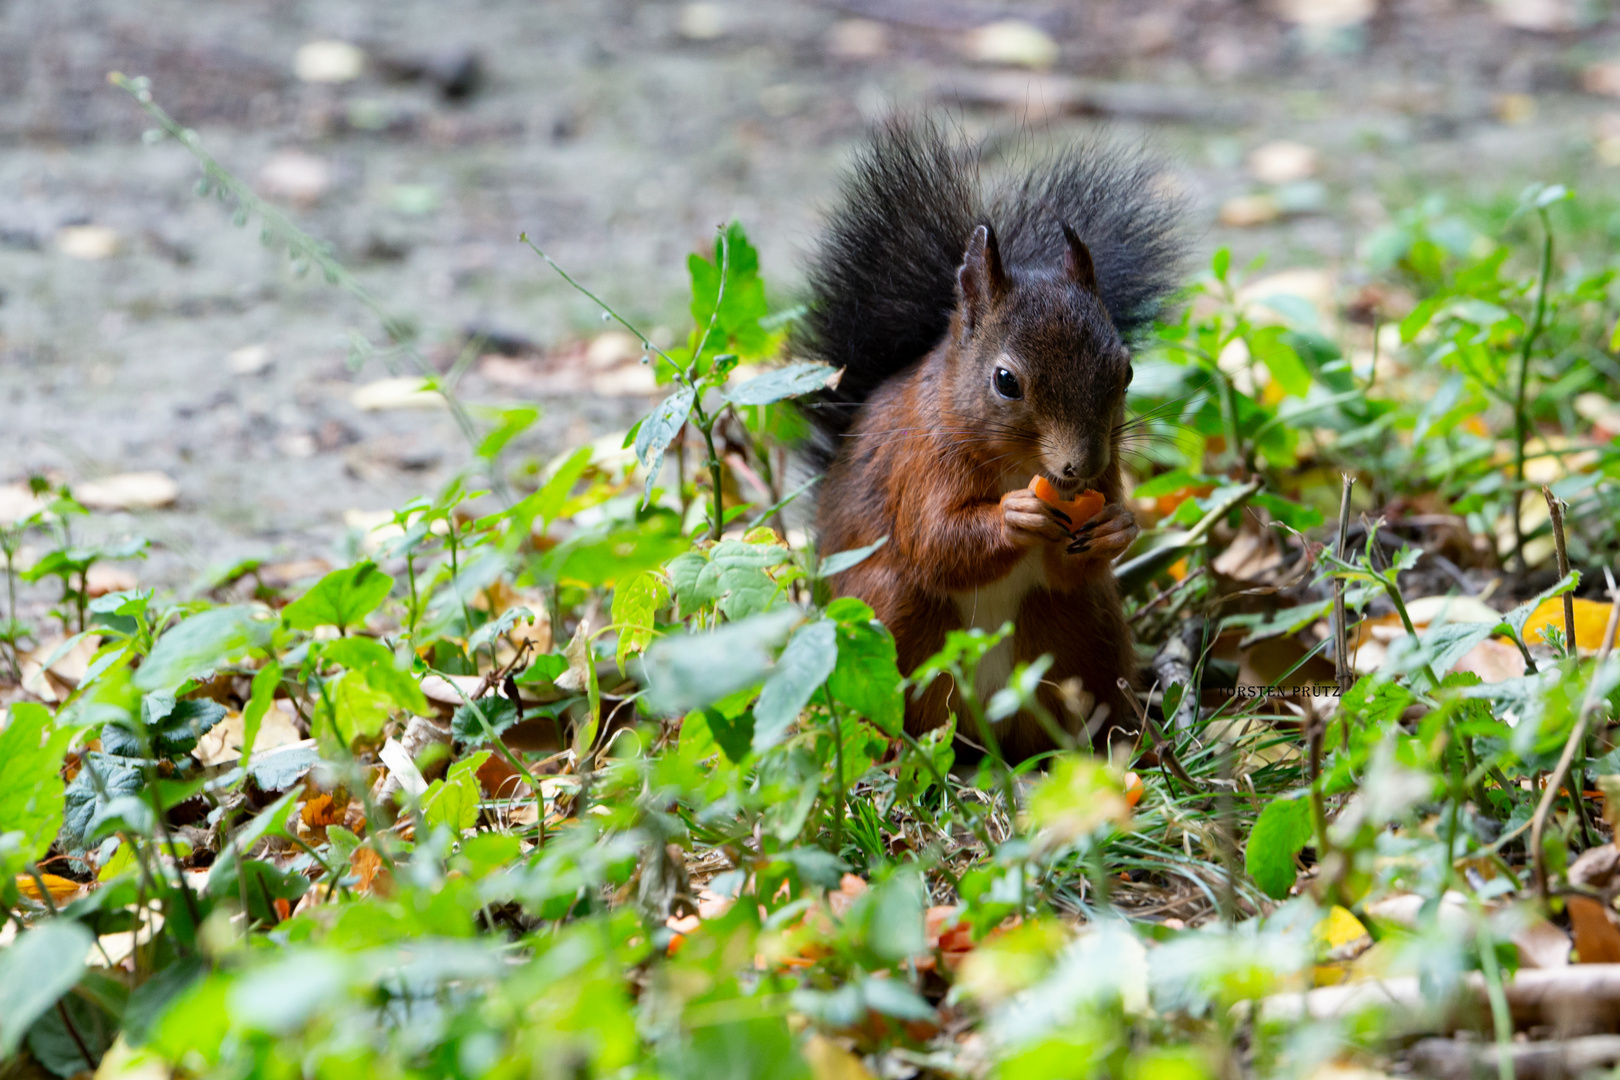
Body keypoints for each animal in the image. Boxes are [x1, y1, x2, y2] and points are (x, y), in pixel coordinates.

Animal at [797, 120, 1192, 761]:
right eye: (1006, 381)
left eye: (1127, 370)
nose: (1081, 467)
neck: (1018, 465)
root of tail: (988, 733)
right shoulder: (922, 465)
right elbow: (934, 540)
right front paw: (1016, 515)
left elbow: (1074, 560)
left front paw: (1118, 526)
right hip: (890, 611)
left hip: (1087, 629)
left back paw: (1126, 744)